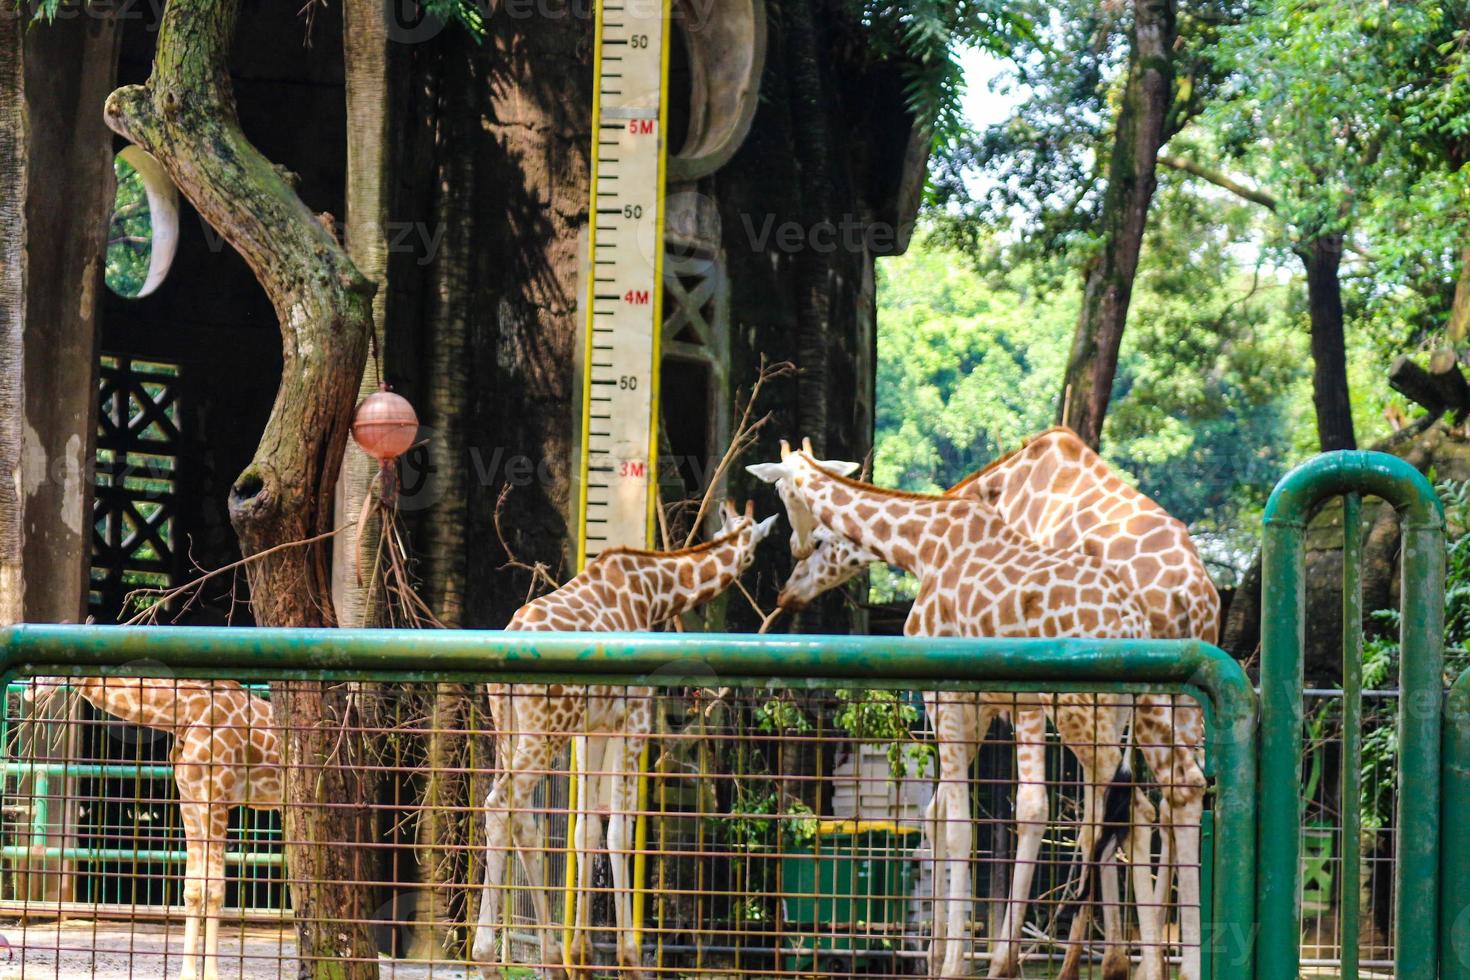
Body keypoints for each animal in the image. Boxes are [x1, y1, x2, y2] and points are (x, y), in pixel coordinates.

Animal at [25, 675, 277, 980]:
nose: (30, 689)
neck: (183, 713)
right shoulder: (189, 800)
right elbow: (193, 888)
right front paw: (186, 974)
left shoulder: (215, 796)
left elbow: (215, 888)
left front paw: (211, 975)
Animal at [470, 502, 776, 975]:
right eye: (754, 545)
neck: (654, 591)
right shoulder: (634, 717)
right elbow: (620, 830)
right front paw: (630, 955)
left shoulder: (593, 727)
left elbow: (586, 829)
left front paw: (583, 955)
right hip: (544, 731)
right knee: (501, 804)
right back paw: (492, 955)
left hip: (512, 728)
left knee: (519, 816)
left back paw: (550, 956)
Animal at [776, 426, 1211, 980]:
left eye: (820, 538)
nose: (788, 583)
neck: (928, 539)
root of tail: (1191, 597)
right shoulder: (983, 705)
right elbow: (943, 813)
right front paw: (946, 951)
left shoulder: (965, 694)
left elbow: (982, 819)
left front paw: (968, 960)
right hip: (1159, 704)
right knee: (1173, 793)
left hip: (1089, 707)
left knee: (1127, 805)